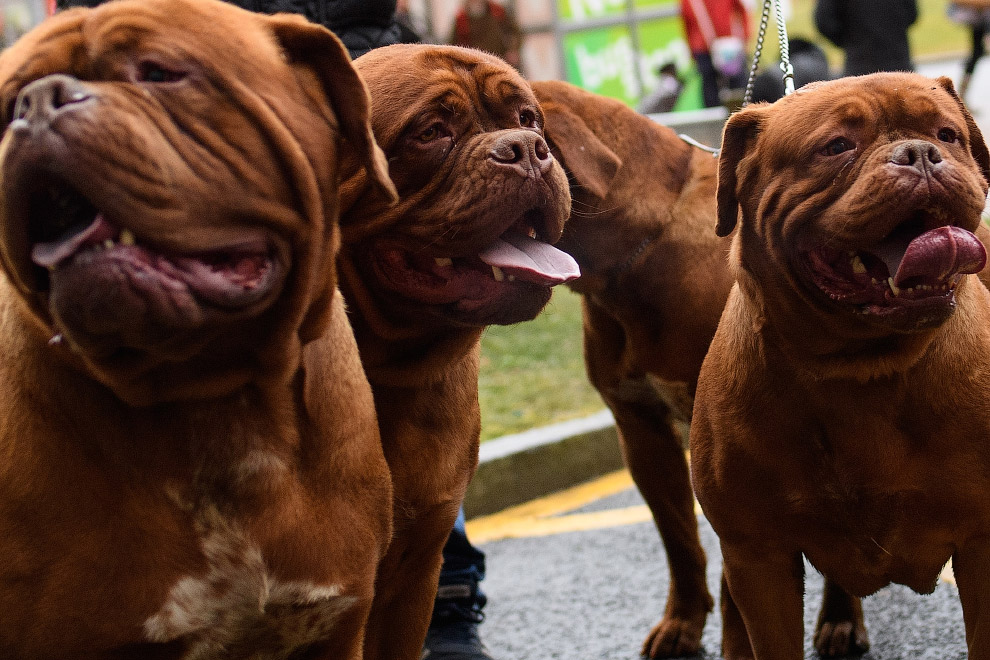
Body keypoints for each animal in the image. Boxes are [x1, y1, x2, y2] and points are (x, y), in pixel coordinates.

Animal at [692, 73, 990, 660]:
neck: (858, 367)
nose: (920, 154)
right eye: (836, 146)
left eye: (948, 134)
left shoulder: (982, 545)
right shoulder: (758, 557)